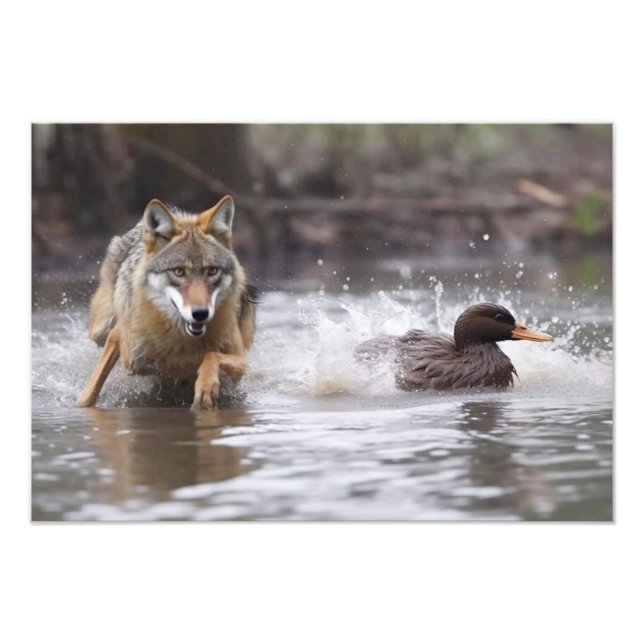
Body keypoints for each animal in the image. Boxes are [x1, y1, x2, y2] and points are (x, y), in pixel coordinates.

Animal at [76, 196, 256, 411]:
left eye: (212, 271)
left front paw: (205, 387)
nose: (200, 313)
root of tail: (176, 211)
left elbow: (210, 357)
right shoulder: (130, 352)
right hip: (102, 329)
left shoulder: (239, 361)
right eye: (178, 272)